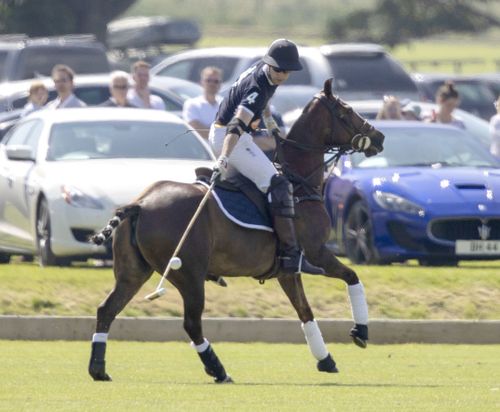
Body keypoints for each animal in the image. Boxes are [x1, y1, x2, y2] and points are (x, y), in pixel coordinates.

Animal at [87, 79, 382, 384]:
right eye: (346, 111)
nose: (379, 136)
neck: (299, 183)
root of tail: (140, 204)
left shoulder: (287, 270)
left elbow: (305, 312)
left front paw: (325, 359)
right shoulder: (315, 252)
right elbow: (351, 277)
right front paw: (360, 332)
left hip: (133, 272)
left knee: (107, 309)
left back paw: (98, 368)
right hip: (189, 273)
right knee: (191, 323)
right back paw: (218, 370)